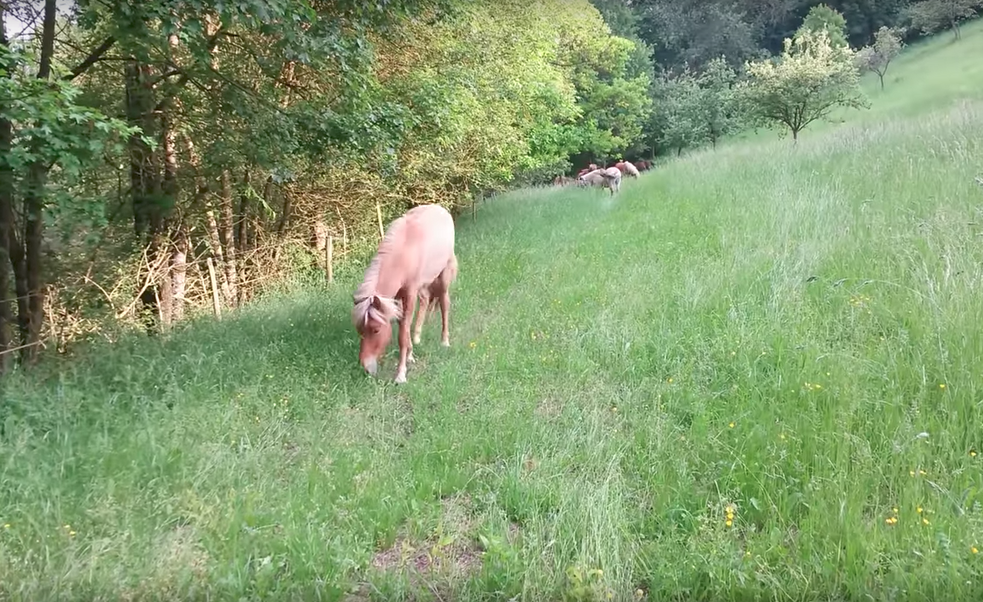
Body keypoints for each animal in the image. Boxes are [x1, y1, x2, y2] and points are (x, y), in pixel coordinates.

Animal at [352, 202, 460, 380]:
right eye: (359, 330)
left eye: (376, 330)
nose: (366, 368)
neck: (404, 251)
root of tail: (441, 209)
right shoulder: (396, 298)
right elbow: (404, 326)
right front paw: (410, 355)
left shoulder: (409, 293)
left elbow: (402, 333)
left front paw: (401, 374)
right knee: (425, 301)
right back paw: (417, 337)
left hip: (443, 278)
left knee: (444, 305)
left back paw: (445, 341)